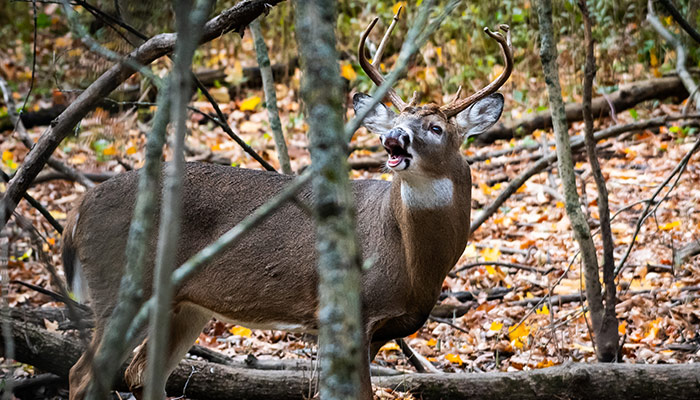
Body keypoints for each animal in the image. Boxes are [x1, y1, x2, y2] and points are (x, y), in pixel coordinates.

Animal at [64, 19, 512, 400]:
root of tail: (80, 206)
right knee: (81, 373)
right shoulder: (351, 313)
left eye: (436, 128)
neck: (410, 257)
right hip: (122, 286)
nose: (394, 139)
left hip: (183, 305)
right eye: (395, 122)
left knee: (141, 373)